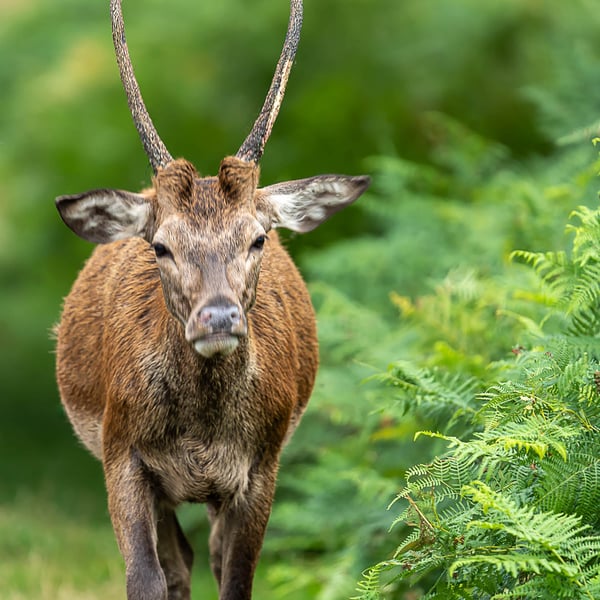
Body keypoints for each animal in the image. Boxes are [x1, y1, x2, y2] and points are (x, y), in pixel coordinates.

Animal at [52, 1, 370, 600]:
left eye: (258, 238)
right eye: (160, 245)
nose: (219, 317)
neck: (202, 436)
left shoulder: (264, 461)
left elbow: (237, 577)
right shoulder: (119, 449)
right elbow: (147, 577)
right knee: (179, 561)